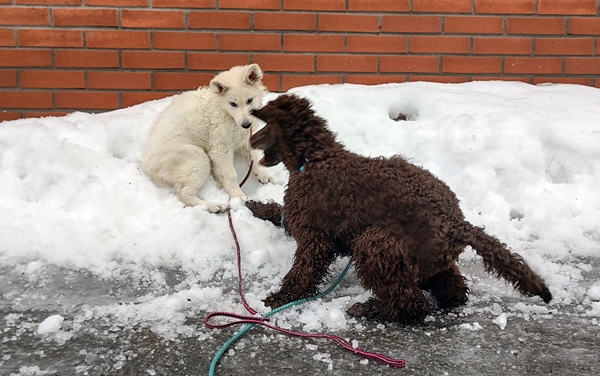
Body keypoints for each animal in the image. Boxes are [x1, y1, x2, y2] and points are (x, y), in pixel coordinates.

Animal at [142, 64, 274, 212]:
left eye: (249, 100)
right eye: (233, 104)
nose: (246, 125)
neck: (226, 112)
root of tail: (148, 167)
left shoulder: (245, 140)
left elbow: (254, 159)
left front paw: (263, 175)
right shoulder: (220, 148)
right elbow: (231, 174)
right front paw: (239, 196)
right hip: (197, 158)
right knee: (184, 193)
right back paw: (214, 206)